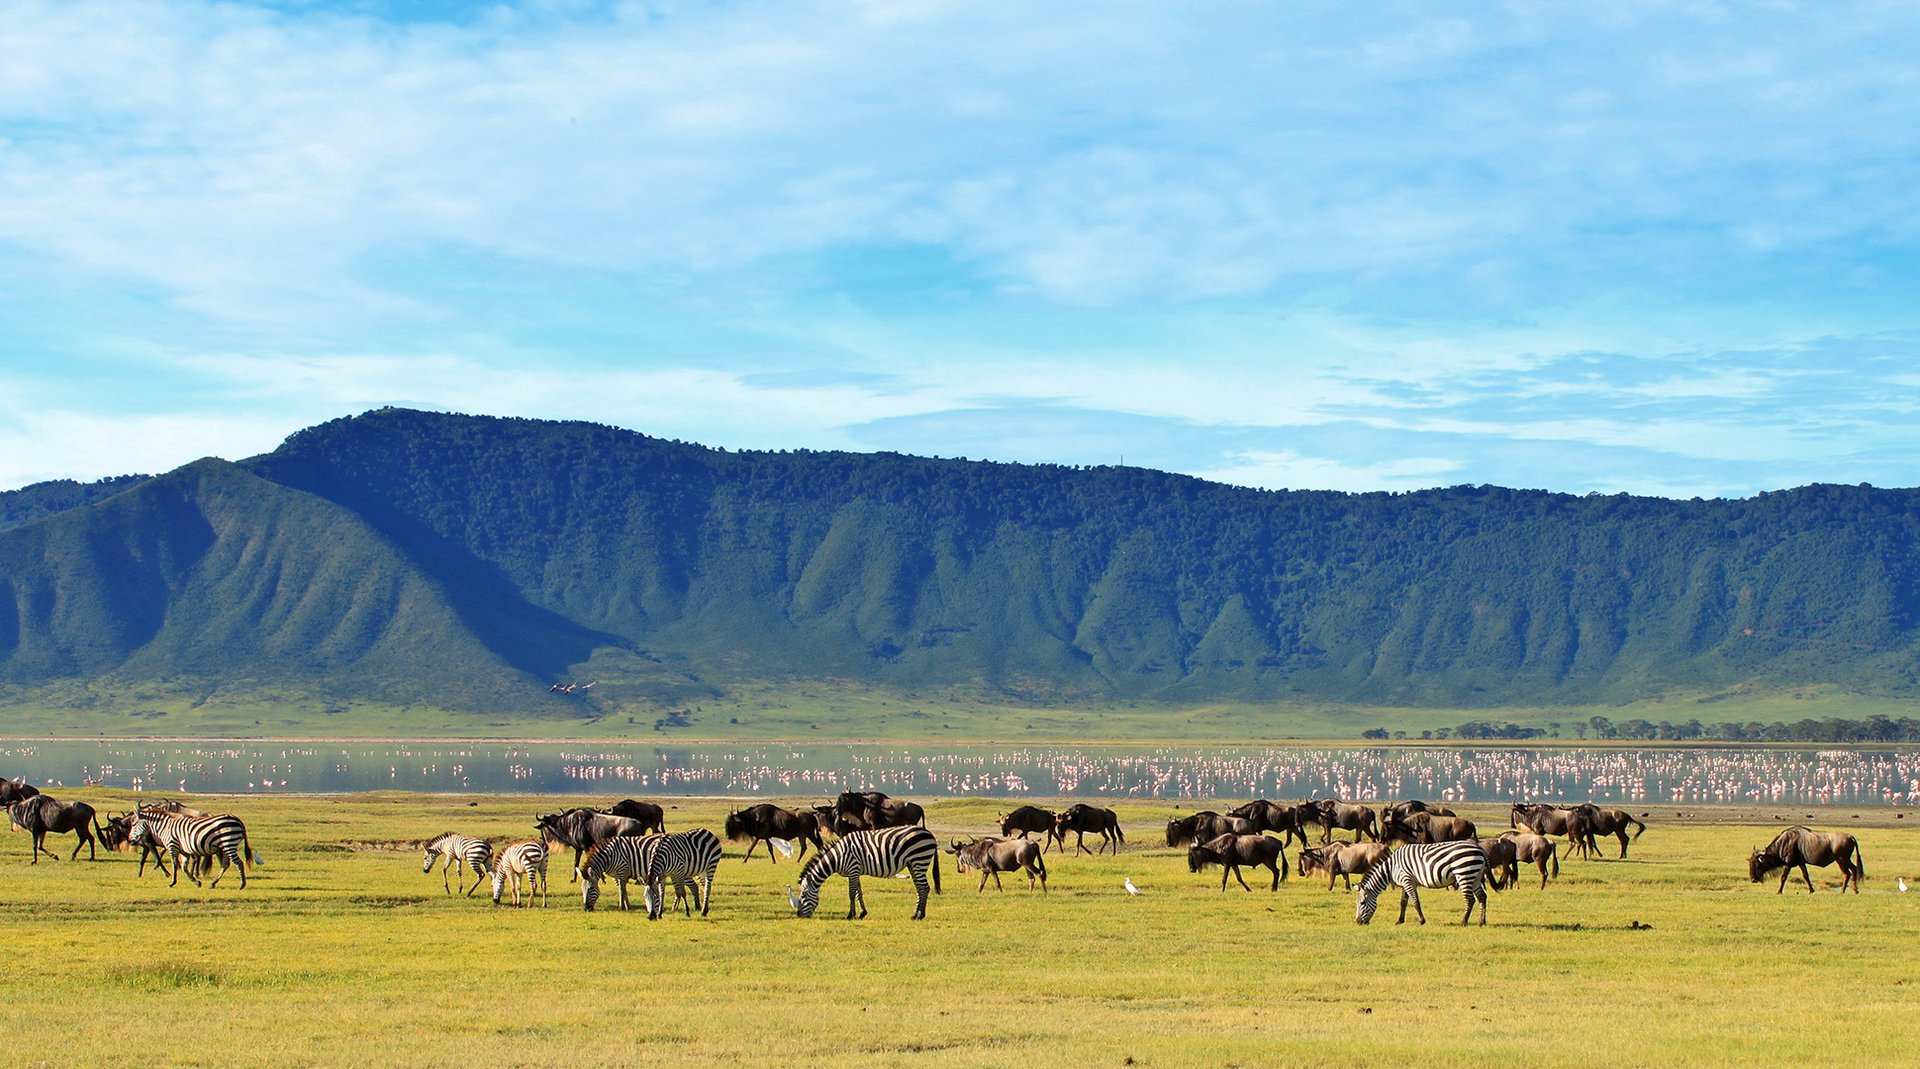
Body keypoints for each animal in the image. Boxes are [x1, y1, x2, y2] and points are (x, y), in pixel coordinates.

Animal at [128, 806, 261, 890]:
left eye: (133, 824)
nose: (130, 841)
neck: (165, 827)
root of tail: (238, 820)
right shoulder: (184, 851)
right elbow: (184, 867)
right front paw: (196, 882)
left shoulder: (172, 846)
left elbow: (175, 865)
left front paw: (172, 883)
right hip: (224, 847)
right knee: (225, 864)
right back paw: (213, 883)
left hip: (229, 843)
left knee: (238, 863)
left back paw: (242, 884)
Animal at [792, 826, 941, 920]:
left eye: (803, 895)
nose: (799, 915)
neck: (838, 856)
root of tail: (930, 834)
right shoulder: (855, 871)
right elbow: (859, 892)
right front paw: (862, 913)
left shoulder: (852, 868)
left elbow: (851, 893)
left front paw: (850, 915)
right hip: (913, 864)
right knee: (920, 888)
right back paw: (915, 914)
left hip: (919, 860)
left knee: (924, 888)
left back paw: (920, 915)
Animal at [1355, 839, 1489, 926]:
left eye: (1362, 903)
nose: (1358, 922)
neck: (1391, 868)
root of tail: (1479, 849)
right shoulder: (1405, 882)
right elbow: (1403, 902)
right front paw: (1400, 921)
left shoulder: (1407, 880)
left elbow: (1415, 902)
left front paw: (1422, 921)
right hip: (1475, 876)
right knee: (1482, 897)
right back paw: (1481, 922)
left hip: (1464, 874)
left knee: (1470, 899)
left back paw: (1463, 922)